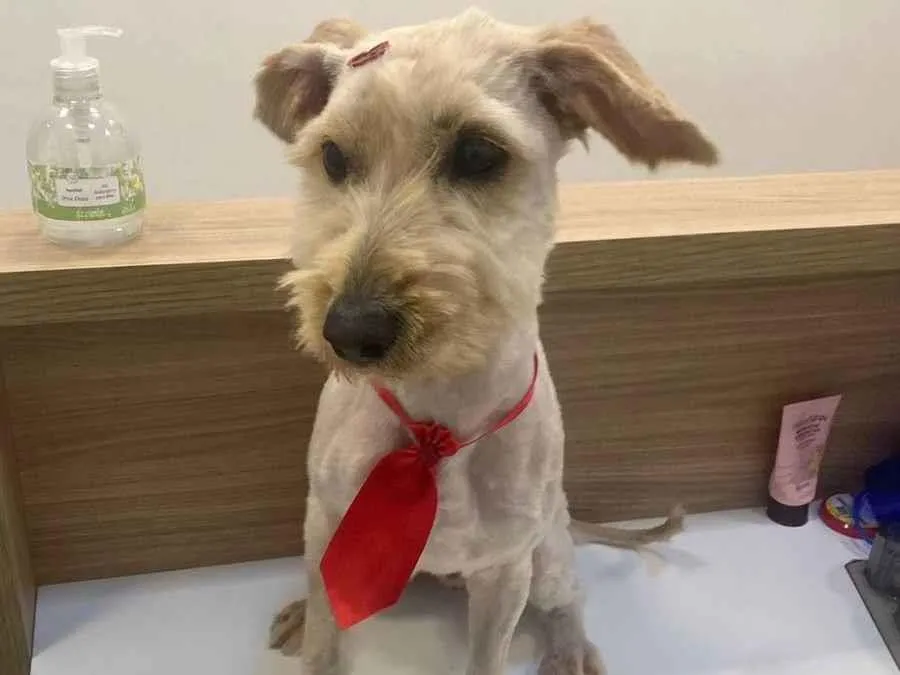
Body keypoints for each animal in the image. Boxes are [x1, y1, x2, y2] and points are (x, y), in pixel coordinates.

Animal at [254, 9, 716, 675]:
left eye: (477, 152)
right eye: (333, 156)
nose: (349, 331)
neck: (436, 422)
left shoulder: (505, 574)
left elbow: (489, 655)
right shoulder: (325, 523)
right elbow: (324, 630)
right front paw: (311, 626)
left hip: (546, 560)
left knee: (570, 598)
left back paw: (570, 647)